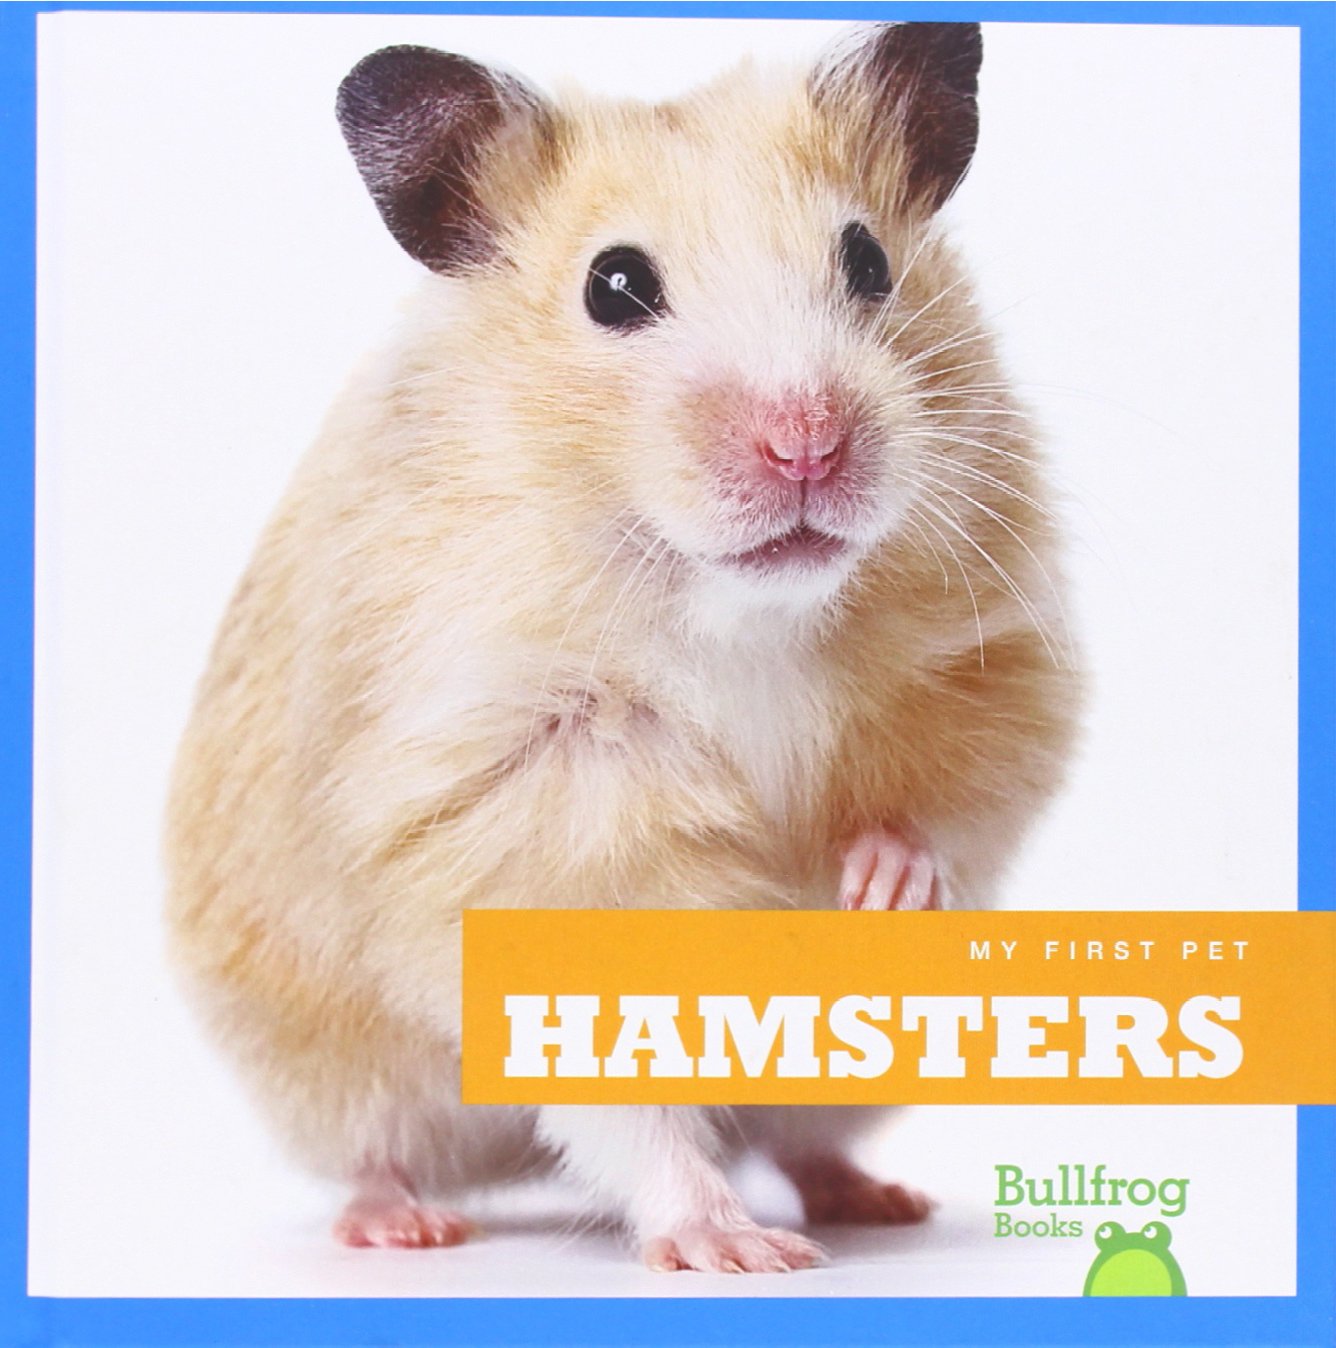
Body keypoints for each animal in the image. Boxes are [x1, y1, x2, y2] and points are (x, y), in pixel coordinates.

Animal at [165, 21, 1080, 1273]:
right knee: (377, 1149)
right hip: (328, 1068)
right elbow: (627, 1092)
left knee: (799, 1137)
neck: (735, 608)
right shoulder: (528, 802)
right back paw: (408, 1226)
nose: (808, 446)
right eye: (613, 286)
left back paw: (877, 1198)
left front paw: (876, 887)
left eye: (867, 260)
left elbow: (946, 802)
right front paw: (733, 1253)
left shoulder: (994, 662)